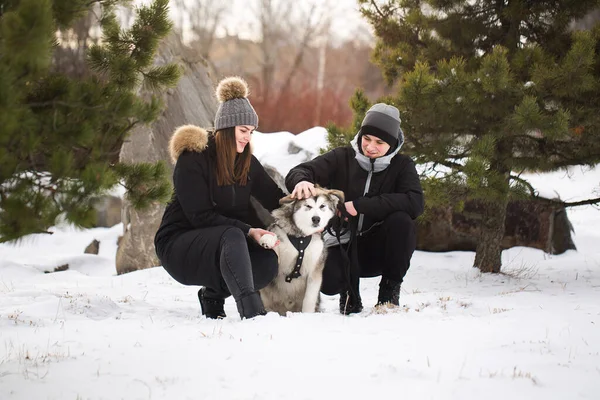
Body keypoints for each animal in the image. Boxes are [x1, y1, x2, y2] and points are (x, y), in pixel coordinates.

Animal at [256, 188, 342, 316]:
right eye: (308, 206)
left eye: (322, 206)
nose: (316, 219)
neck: (301, 237)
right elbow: (274, 237)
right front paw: (267, 239)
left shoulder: (315, 269)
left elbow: (309, 299)